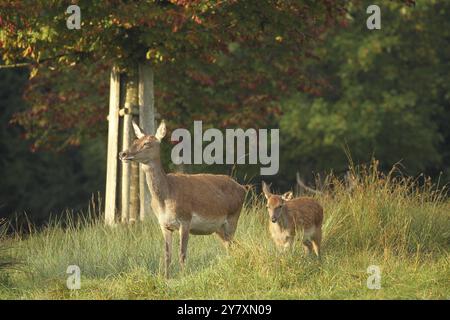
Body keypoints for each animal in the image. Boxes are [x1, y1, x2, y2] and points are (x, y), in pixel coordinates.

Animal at [119, 120, 246, 278]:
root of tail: (243, 188)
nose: (123, 153)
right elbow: (167, 255)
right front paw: (166, 278)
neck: (165, 199)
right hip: (219, 228)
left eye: (147, 143)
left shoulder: (185, 220)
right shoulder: (164, 224)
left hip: (233, 217)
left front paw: (183, 277)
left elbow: (182, 253)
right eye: (135, 141)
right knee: (232, 246)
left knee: (232, 246)